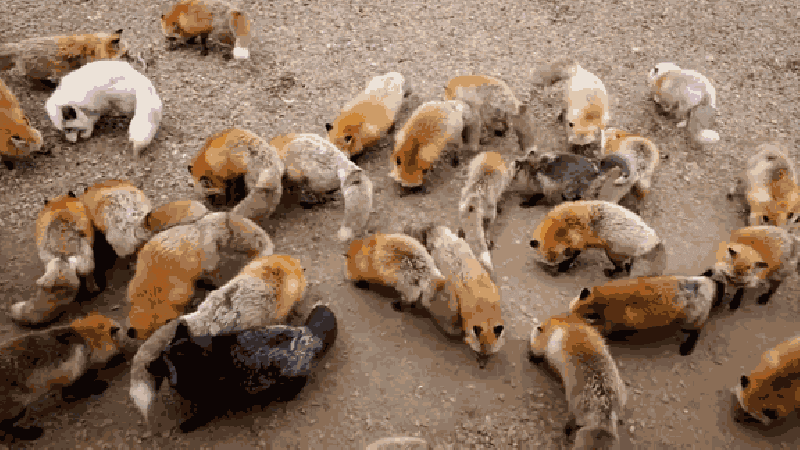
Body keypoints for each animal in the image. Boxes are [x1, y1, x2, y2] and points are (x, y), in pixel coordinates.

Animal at [141, 304, 337, 432]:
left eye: (163, 363)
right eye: (160, 356)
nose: (146, 364)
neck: (203, 364)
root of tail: (309, 336)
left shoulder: (211, 404)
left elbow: (201, 415)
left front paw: (188, 424)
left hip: (291, 380)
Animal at [529, 200, 667, 278]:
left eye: (557, 262)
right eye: (548, 263)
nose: (553, 274)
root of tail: (655, 241)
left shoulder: (577, 242)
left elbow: (573, 255)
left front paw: (564, 267)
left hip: (612, 253)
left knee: (621, 268)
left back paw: (612, 273)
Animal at [569, 273, 727, 356]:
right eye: (569, 313)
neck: (603, 303)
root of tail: (709, 284)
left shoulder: (621, 322)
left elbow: (617, 332)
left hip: (689, 323)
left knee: (697, 332)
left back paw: (687, 347)